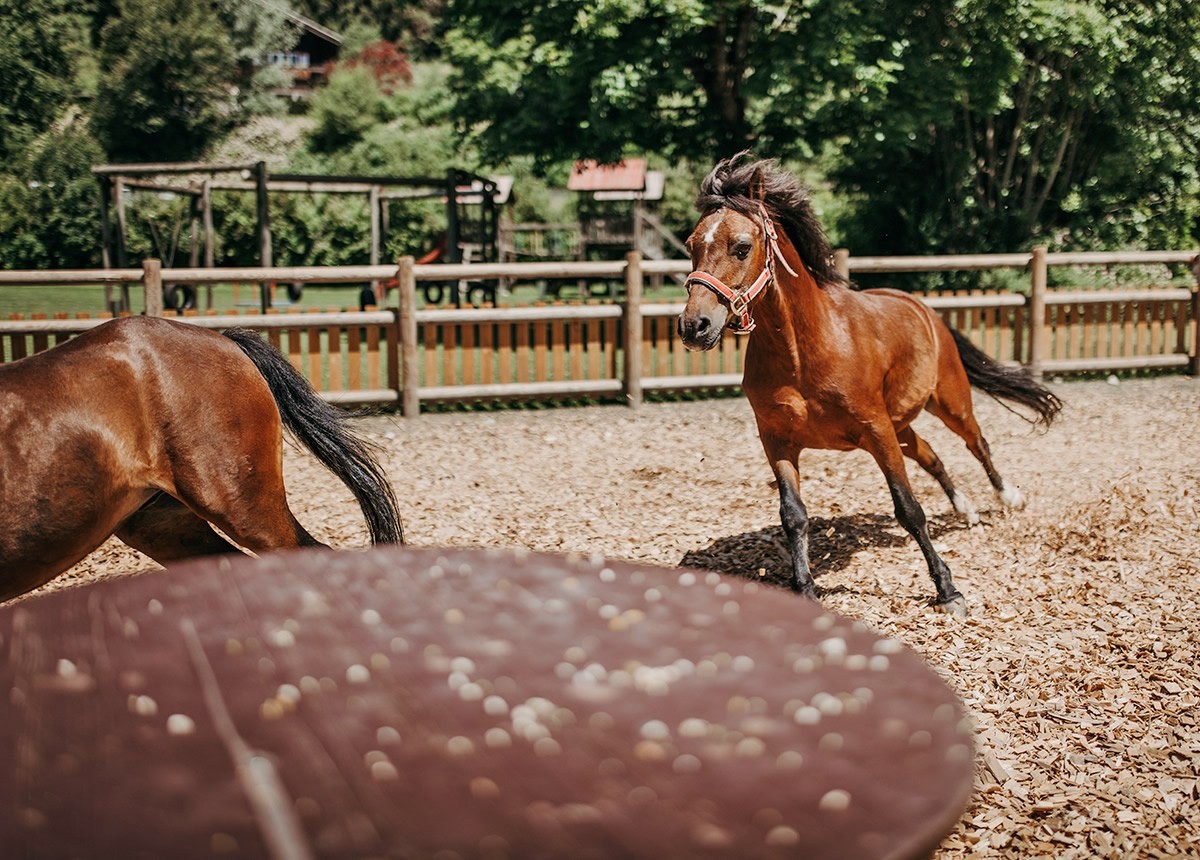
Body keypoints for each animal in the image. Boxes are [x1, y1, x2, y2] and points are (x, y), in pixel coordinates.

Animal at [677, 153, 1062, 615]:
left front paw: (949, 591)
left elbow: (909, 509)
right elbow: (793, 515)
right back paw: (965, 509)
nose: (694, 327)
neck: (803, 352)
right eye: (692, 246)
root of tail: (922, 308)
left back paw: (1008, 498)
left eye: (741, 247)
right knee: (932, 456)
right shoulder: (777, 440)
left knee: (977, 442)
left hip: (947, 404)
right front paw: (804, 590)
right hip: (902, 425)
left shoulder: (875, 430)